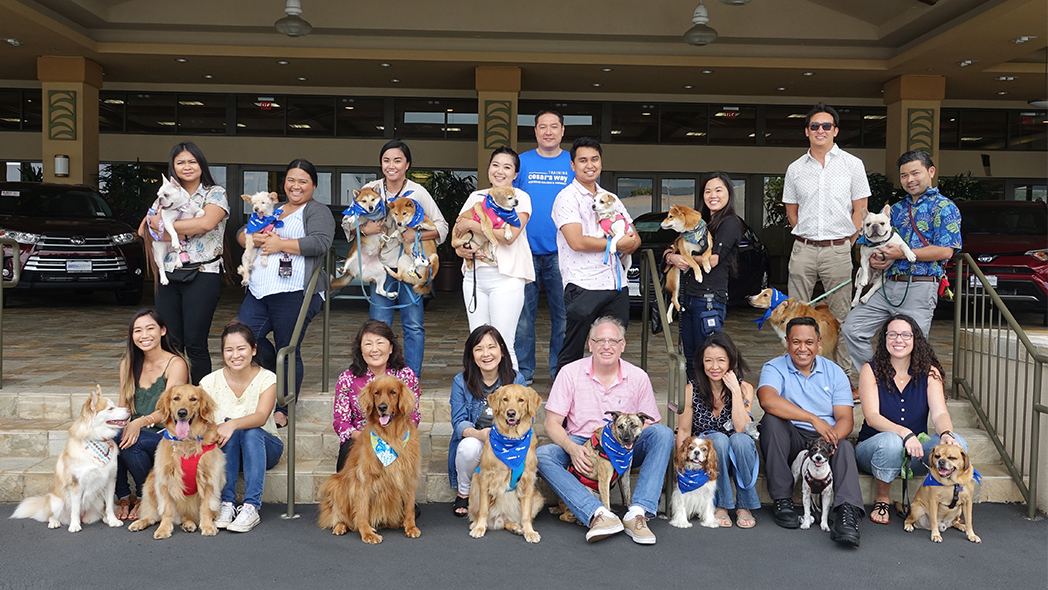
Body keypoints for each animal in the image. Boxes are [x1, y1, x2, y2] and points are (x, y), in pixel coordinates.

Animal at [11, 385, 129, 532]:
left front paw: (113, 520)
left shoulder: (110, 480)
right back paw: (55, 522)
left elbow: (109, 506)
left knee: (101, 510)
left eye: (115, 405)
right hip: (56, 501)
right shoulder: (76, 485)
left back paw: (105, 518)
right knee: (52, 515)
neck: (98, 440)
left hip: (96, 500)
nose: (129, 410)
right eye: (110, 408)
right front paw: (74, 525)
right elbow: (75, 509)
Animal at [469, 385, 544, 540]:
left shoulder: (528, 480)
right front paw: (479, 527)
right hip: (474, 485)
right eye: (505, 399)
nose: (511, 413)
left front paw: (529, 532)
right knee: (479, 513)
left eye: (521, 400)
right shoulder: (486, 478)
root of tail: (500, 517)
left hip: (538, 498)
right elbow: (483, 509)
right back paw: (476, 524)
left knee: (511, 520)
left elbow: (526, 515)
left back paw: (516, 527)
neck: (511, 440)